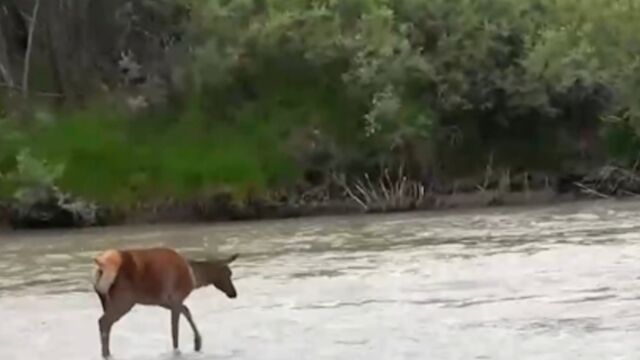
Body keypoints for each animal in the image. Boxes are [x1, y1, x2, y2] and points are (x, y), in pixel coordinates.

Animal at [91, 246, 239, 358]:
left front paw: (198, 343)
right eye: (228, 273)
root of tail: (101, 268)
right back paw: (106, 354)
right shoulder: (176, 298)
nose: (234, 293)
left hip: (106, 301)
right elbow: (175, 328)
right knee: (103, 322)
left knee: (106, 324)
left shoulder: (164, 301)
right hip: (124, 300)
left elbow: (186, 311)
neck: (194, 278)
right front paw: (179, 350)